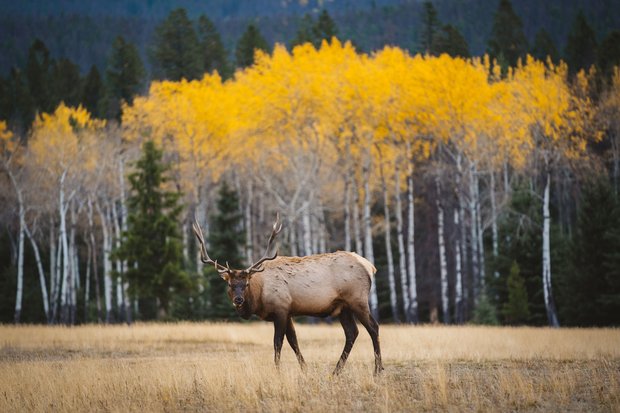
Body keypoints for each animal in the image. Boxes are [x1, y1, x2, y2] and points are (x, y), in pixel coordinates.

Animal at [193, 214, 382, 374]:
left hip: (358, 299)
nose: (239, 300)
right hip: (343, 307)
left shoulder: (281, 308)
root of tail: (370, 266)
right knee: (352, 333)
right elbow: (294, 341)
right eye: (230, 285)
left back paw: (377, 370)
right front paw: (305, 369)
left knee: (373, 327)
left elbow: (278, 343)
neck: (260, 295)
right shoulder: (289, 312)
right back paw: (336, 371)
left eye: (246, 284)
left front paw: (277, 371)